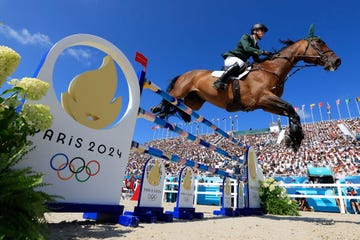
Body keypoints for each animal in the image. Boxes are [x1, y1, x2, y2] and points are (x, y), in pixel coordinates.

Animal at [150, 26, 342, 152]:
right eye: (319, 42)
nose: (337, 61)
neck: (272, 69)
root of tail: (186, 73)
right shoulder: (263, 97)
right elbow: (290, 108)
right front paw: (294, 138)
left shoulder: (266, 105)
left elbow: (292, 112)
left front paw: (294, 138)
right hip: (181, 90)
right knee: (169, 98)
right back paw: (158, 109)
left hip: (195, 101)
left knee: (178, 105)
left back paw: (175, 113)